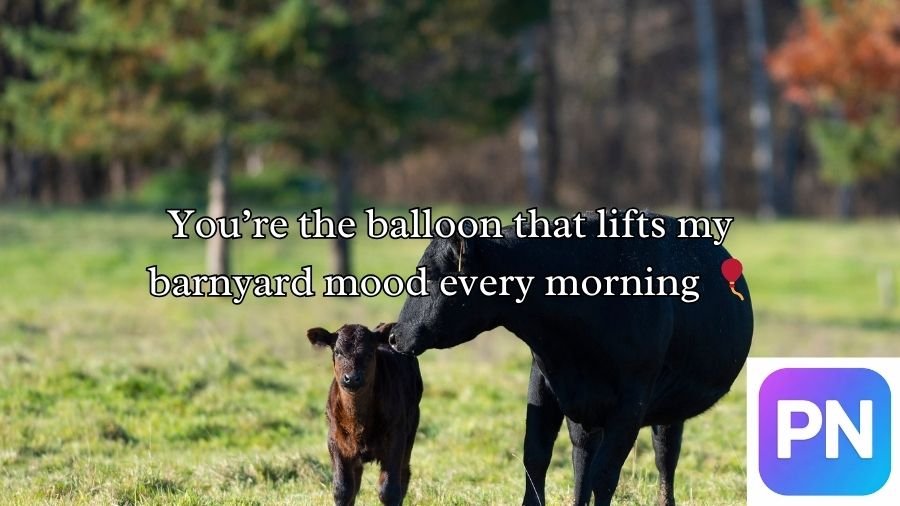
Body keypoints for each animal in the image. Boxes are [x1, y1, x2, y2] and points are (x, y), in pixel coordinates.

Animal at [308, 323, 423, 506]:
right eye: (337, 352)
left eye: (370, 353)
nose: (352, 378)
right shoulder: (335, 441)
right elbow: (342, 490)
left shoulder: (396, 439)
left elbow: (389, 490)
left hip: (411, 431)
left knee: (403, 475)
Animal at [388, 212, 753, 505]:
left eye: (430, 274)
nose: (395, 336)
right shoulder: (543, 378)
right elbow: (536, 458)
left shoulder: (632, 400)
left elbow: (606, 474)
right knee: (583, 459)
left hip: (665, 406)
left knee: (664, 457)